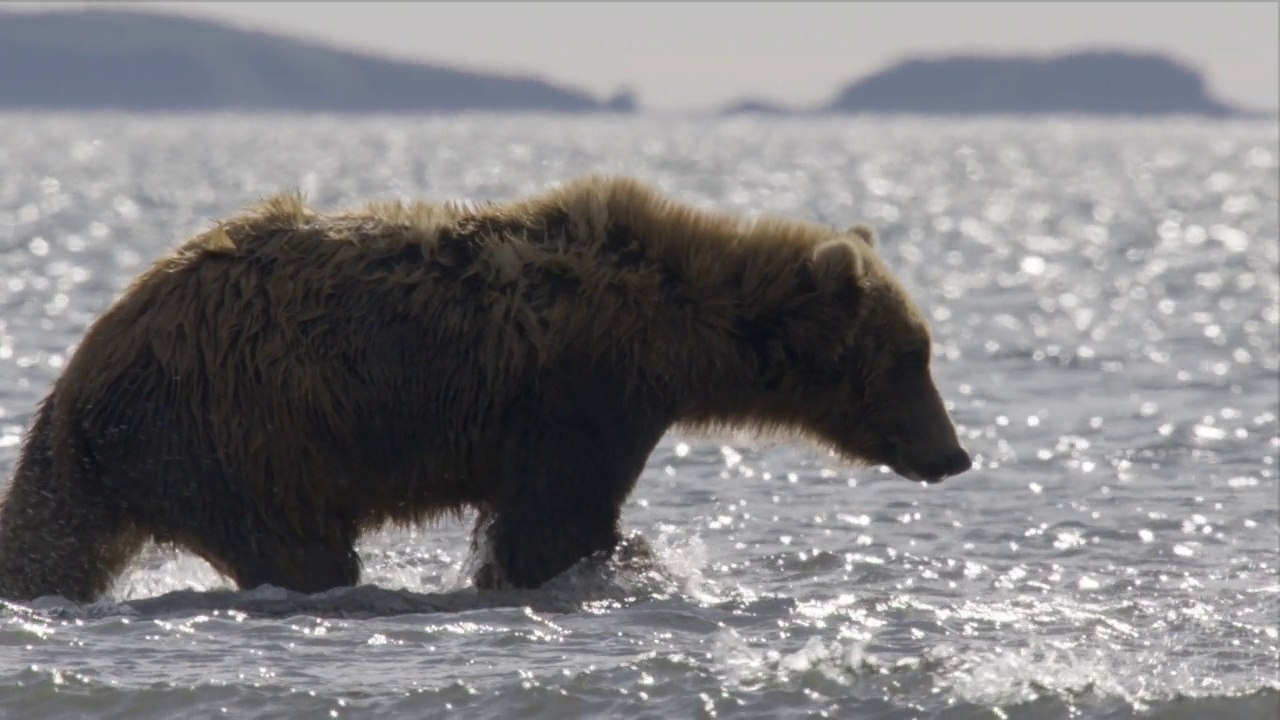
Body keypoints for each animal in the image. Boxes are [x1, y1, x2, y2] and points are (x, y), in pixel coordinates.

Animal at [0, 174, 962, 599]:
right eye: (912, 357)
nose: (953, 454)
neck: (671, 332)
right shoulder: (579, 398)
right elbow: (556, 523)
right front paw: (614, 566)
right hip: (241, 432)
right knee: (298, 549)